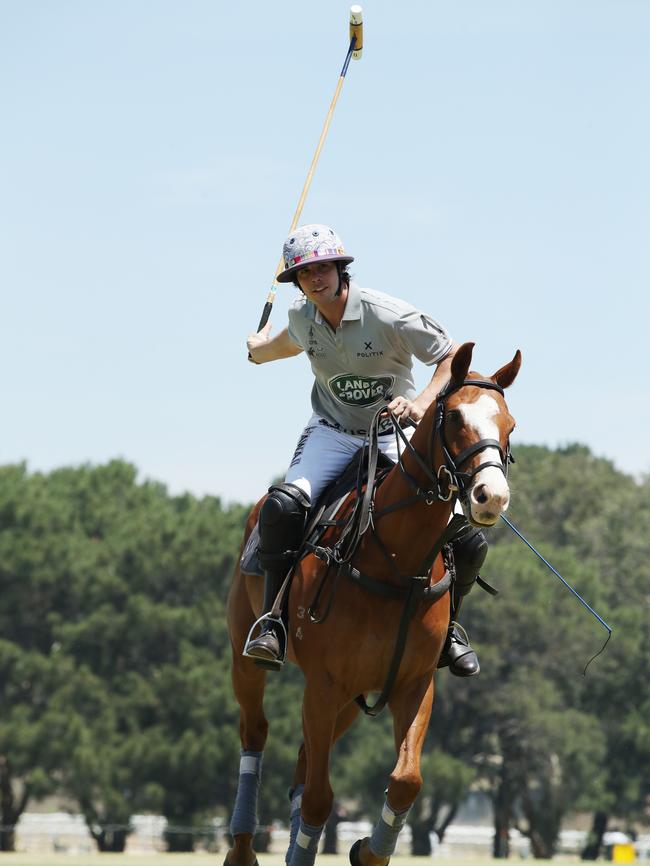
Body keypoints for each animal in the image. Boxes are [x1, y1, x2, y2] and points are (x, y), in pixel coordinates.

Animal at [225, 340, 520, 864]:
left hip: (351, 695)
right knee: (255, 733)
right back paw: (242, 848)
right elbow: (320, 797)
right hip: (250, 658)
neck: (396, 560)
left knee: (303, 761)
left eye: (511, 424)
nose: (491, 497)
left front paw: (367, 850)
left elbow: (405, 780)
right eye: (455, 417)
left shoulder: (413, 683)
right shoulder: (324, 683)